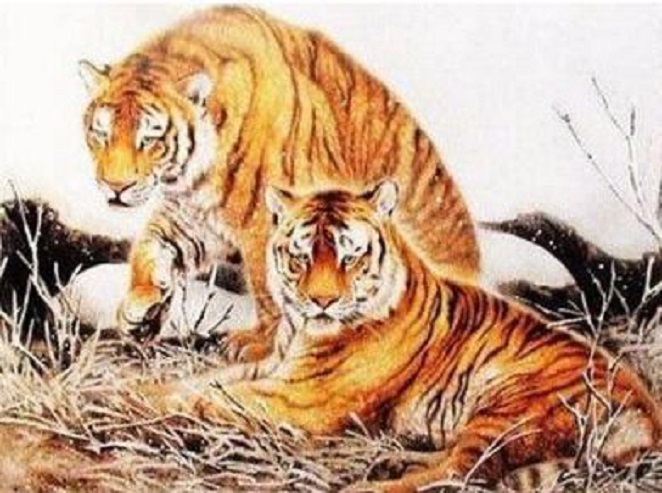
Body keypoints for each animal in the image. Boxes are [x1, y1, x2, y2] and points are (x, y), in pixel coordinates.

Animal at [78, 6, 479, 360]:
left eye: (150, 139)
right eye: (101, 133)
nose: (115, 187)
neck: (195, 172)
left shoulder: (265, 221)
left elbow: (269, 288)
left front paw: (261, 345)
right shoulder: (191, 216)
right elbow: (149, 248)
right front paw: (139, 310)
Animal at [138, 181, 662, 492]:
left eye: (349, 255)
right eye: (300, 255)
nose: (321, 302)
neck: (300, 332)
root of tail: (649, 416)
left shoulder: (300, 397)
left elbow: (207, 400)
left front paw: (131, 401)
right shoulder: (272, 366)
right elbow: (198, 385)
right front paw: (137, 389)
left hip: (510, 410)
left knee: (460, 474)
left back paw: (368, 484)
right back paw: (394, 462)